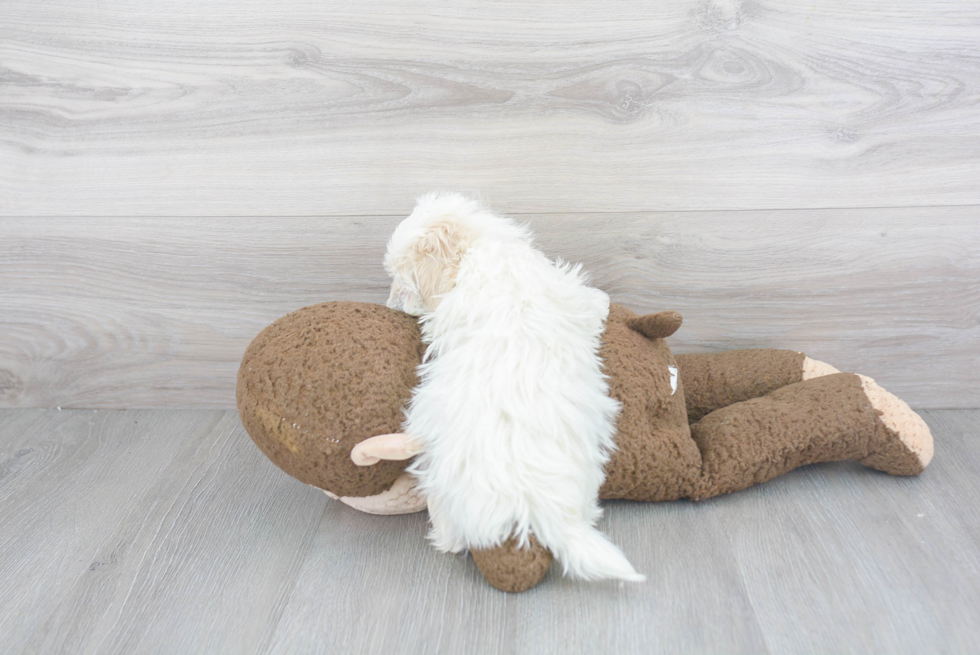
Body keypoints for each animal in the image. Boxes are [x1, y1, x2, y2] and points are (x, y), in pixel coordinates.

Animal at [382, 192, 644, 580]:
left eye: (402, 279)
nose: (390, 304)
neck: (479, 249)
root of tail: (533, 498)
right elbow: (589, 302)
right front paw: (604, 301)